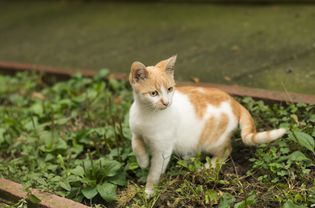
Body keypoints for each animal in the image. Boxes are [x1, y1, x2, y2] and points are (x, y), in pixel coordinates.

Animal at [128, 55, 286, 198]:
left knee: (226, 150)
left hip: (213, 141)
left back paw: (207, 166)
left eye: (170, 89)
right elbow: (135, 145)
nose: (166, 103)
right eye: (154, 93)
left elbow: (154, 171)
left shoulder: (163, 150)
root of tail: (235, 102)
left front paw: (149, 190)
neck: (147, 114)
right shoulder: (136, 131)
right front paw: (143, 161)